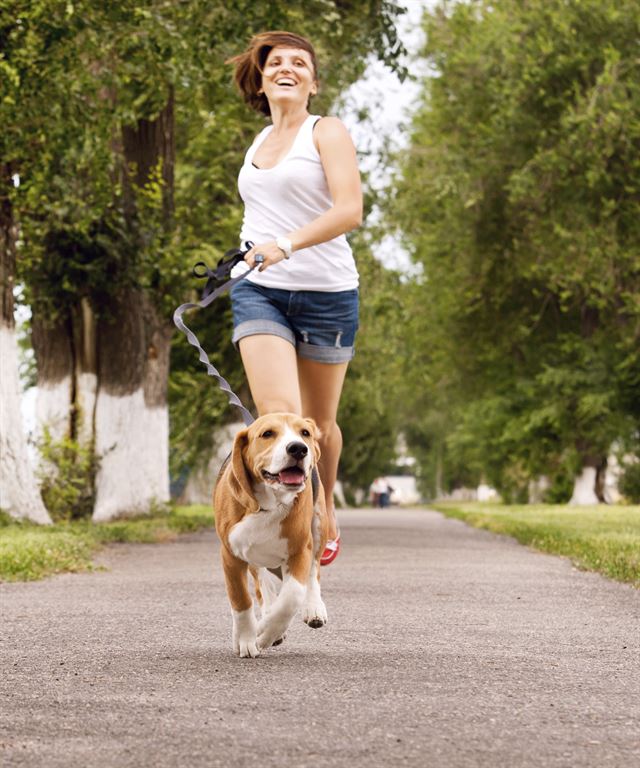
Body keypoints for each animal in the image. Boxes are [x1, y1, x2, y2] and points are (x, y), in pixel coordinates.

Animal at [215, 412, 328, 656]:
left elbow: (291, 597)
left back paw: (313, 608)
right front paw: (247, 639)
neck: (269, 504)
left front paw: (266, 633)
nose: (298, 448)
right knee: (261, 582)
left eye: (305, 433)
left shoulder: (299, 551)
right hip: (252, 554)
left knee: (314, 571)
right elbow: (241, 600)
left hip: (319, 525)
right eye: (267, 434)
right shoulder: (230, 555)